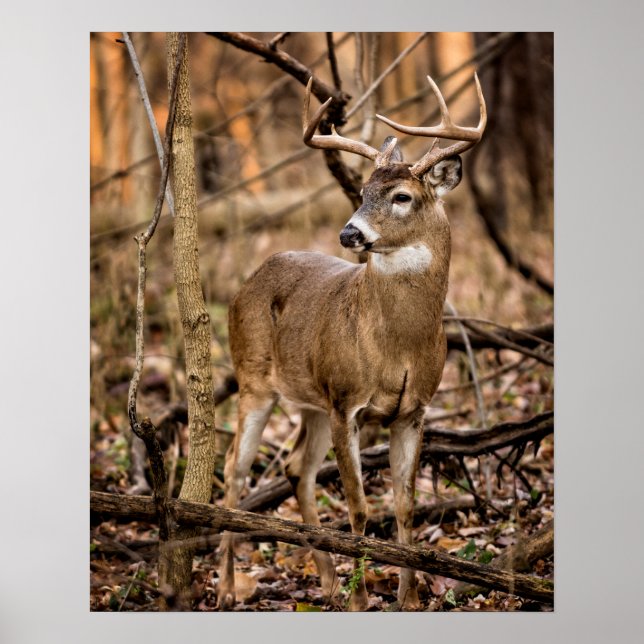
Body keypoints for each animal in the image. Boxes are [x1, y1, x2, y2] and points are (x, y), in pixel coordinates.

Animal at [217, 74, 486, 611]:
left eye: (401, 196)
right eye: (361, 190)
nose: (349, 233)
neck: (398, 346)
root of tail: (247, 281)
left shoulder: (413, 410)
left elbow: (404, 507)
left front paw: (409, 598)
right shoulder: (348, 403)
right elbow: (360, 509)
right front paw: (364, 598)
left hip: (313, 402)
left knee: (297, 468)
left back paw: (326, 583)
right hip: (254, 378)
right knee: (235, 468)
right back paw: (227, 589)